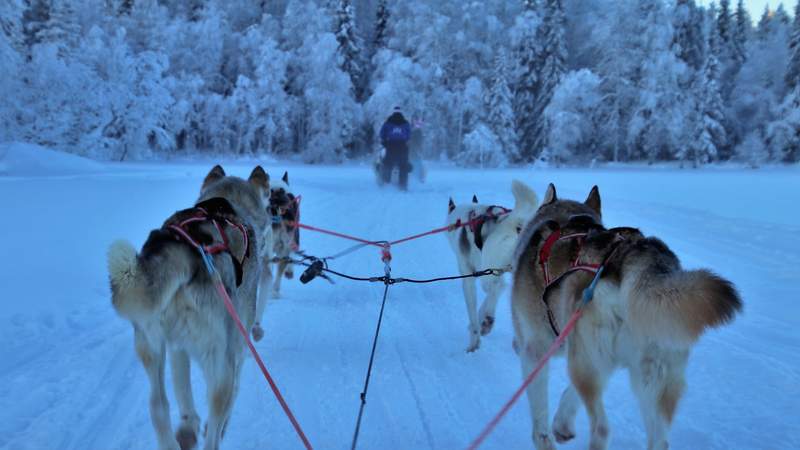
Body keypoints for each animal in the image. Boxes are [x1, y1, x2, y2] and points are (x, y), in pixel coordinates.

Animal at [108, 165, 274, 450]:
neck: (228, 205)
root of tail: (187, 248)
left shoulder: (177, 348)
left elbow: (181, 388)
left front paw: (188, 426)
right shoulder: (238, 347)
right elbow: (234, 392)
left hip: (150, 344)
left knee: (158, 406)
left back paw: (179, 435)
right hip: (219, 361)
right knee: (215, 420)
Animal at [446, 179, 540, 352]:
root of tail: (515, 222)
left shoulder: (470, 277)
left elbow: (475, 311)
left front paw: (474, 340)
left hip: (488, 271)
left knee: (497, 288)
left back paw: (488, 320)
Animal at [510, 184, 740, 450]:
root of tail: (636, 260)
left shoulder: (536, 352)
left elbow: (540, 416)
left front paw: (547, 434)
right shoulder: (597, 360)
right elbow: (570, 394)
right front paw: (562, 423)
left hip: (585, 364)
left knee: (601, 429)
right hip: (649, 377)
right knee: (660, 440)